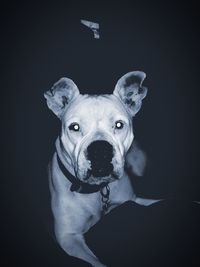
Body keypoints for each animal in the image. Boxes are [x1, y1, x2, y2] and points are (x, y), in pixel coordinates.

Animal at [44, 71, 161, 267]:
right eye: (74, 127)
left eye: (119, 125)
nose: (100, 150)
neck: (96, 190)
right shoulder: (69, 238)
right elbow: (97, 263)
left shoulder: (133, 199)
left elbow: (157, 201)